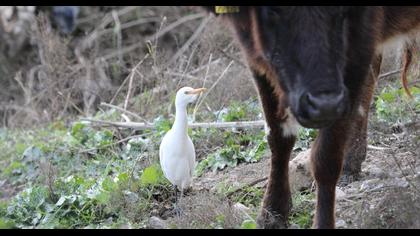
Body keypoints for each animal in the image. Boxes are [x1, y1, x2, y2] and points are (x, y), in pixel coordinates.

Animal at [205, 6, 420, 228]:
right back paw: (351, 163)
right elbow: (277, 136)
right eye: (273, 11)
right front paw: (272, 213)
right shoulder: (254, 51)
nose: (323, 105)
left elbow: (326, 155)